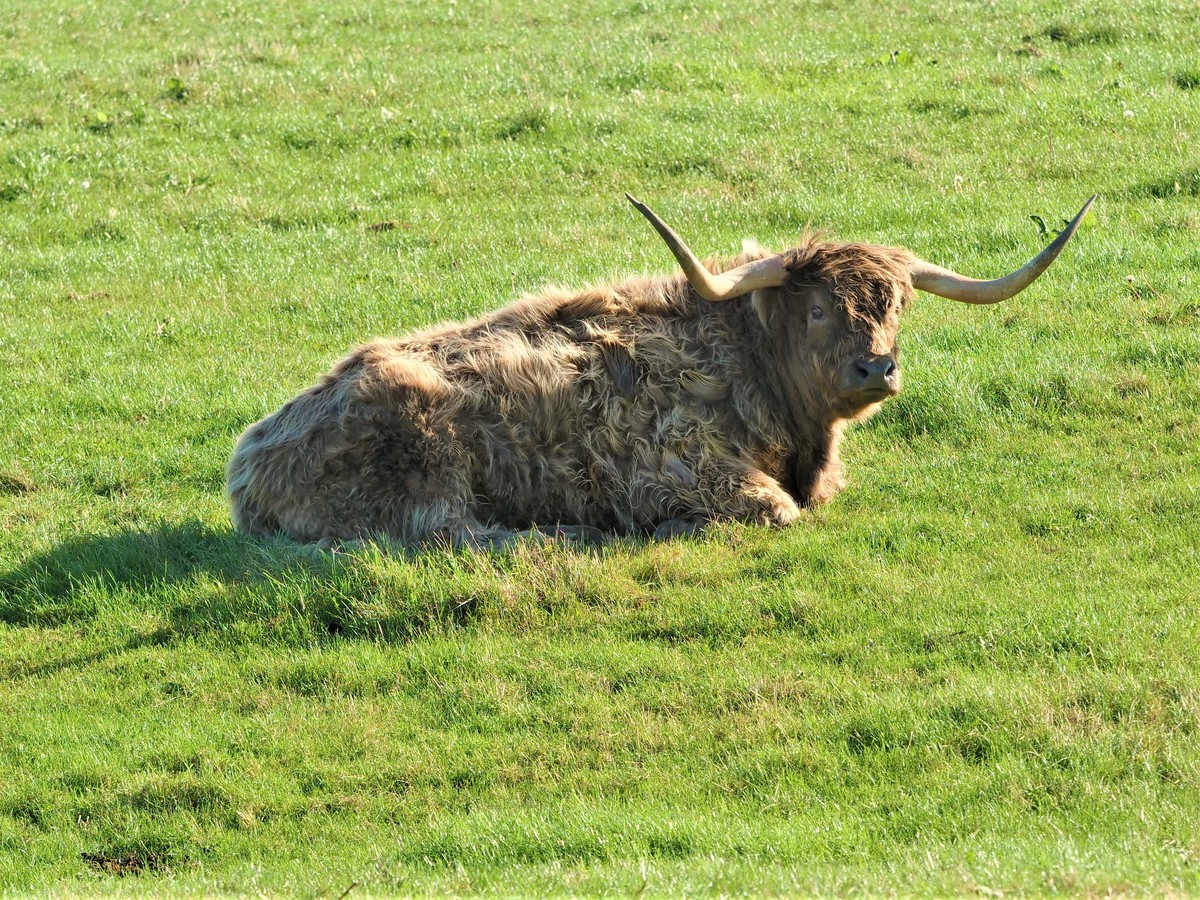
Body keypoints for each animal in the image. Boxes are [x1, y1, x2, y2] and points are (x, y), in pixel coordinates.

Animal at [227, 194, 1094, 549]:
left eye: (898, 306)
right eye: (818, 309)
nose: (875, 367)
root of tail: (252, 455)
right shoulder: (687, 471)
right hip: (427, 458)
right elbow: (779, 511)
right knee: (450, 535)